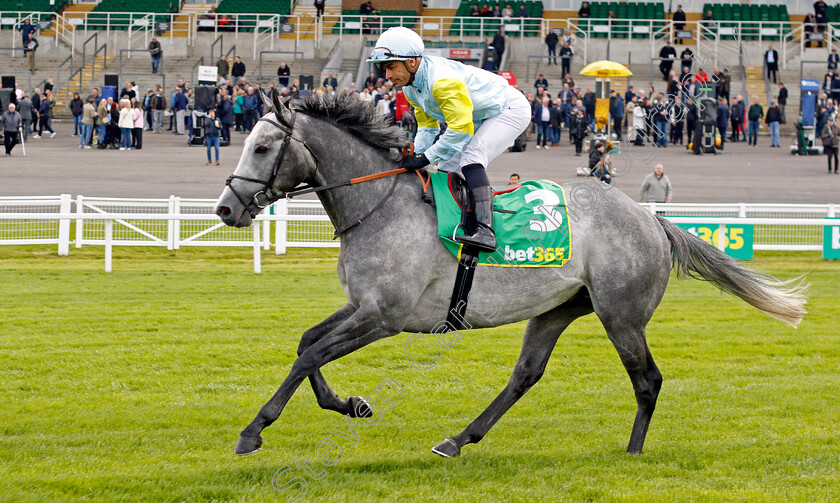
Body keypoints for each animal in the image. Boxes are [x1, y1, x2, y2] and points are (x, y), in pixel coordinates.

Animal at [215, 94, 808, 460]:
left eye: (262, 148)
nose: (225, 209)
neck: (379, 204)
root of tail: (652, 219)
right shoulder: (362, 306)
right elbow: (307, 343)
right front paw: (350, 404)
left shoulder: (384, 316)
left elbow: (310, 355)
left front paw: (253, 430)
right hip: (557, 310)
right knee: (526, 374)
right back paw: (458, 439)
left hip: (621, 316)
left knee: (648, 380)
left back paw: (634, 452)